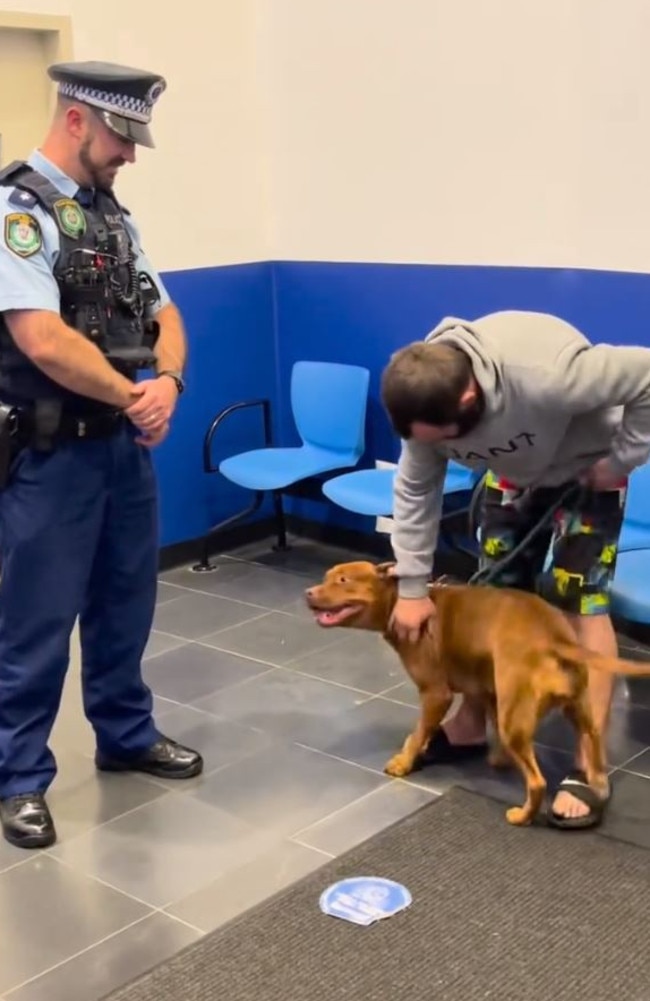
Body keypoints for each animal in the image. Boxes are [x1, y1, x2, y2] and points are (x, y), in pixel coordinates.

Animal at [304, 560, 648, 824]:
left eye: (343, 580)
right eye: (327, 577)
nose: (308, 593)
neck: (400, 601)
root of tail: (555, 636)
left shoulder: (436, 693)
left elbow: (418, 732)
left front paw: (404, 762)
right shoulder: (487, 690)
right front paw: (496, 757)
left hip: (518, 719)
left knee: (537, 782)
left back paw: (521, 816)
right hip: (578, 709)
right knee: (593, 742)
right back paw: (594, 783)